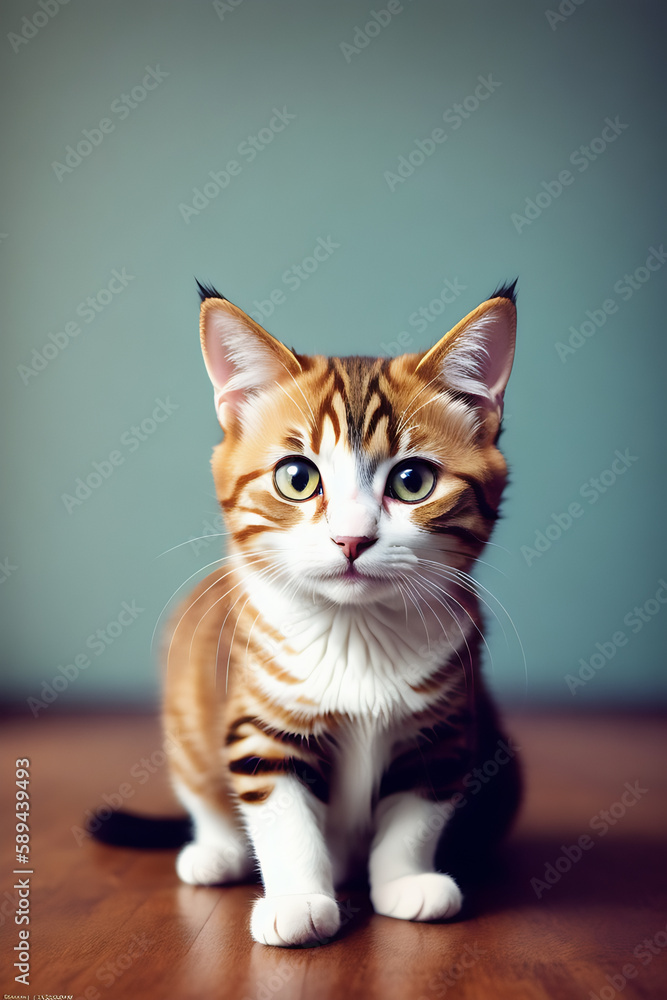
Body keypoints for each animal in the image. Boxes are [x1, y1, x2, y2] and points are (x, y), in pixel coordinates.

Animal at [162, 282, 520, 944]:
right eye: (297, 478)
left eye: (412, 481)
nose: (351, 539)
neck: (357, 635)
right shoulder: (261, 721)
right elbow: (282, 813)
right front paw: (298, 900)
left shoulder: (444, 725)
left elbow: (415, 815)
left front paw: (407, 880)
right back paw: (216, 852)